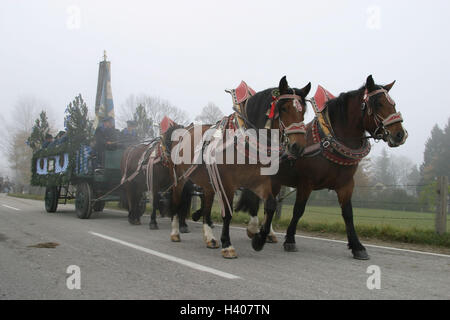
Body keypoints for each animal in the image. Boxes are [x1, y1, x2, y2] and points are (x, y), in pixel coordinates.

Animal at [163, 76, 312, 258]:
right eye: (283, 108)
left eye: (303, 111)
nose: (298, 146)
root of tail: (183, 131)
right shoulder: (227, 183)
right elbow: (227, 213)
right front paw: (227, 245)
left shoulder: (258, 182)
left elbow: (270, 205)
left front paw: (258, 239)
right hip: (179, 179)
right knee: (177, 202)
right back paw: (175, 232)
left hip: (209, 183)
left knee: (206, 208)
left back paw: (210, 238)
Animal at [236, 75, 408, 260]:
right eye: (378, 104)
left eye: (393, 104)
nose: (400, 134)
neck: (329, 143)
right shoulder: (306, 183)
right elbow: (298, 210)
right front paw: (290, 240)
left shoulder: (346, 185)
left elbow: (348, 214)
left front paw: (357, 246)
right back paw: (256, 230)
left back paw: (267, 233)